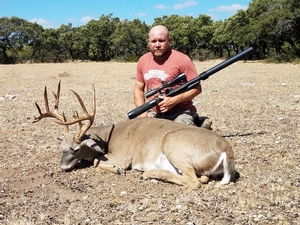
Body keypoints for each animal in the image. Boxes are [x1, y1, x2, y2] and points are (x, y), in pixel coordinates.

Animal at [32, 81, 238, 188]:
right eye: (61, 147)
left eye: (75, 149)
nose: (63, 167)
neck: (107, 139)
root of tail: (226, 150)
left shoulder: (122, 156)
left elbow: (98, 161)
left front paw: (117, 169)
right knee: (200, 178)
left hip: (172, 143)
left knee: (194, 181)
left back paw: (148, 173)